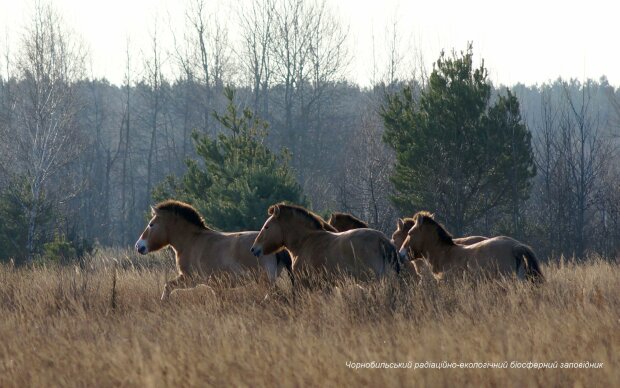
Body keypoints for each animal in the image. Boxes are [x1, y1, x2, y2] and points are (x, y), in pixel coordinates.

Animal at [135, 200, 294, 300]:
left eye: (151, 224)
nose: (139, 246)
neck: (192, 241)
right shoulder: (212, 285)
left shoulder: (190, 279)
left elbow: (168, 286)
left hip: (265, 280)